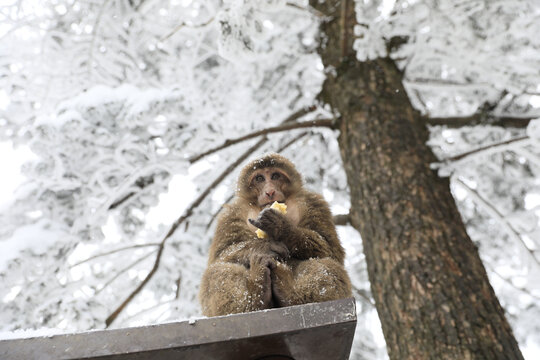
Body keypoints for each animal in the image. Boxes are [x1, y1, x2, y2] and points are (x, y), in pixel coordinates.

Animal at [200, 153, 352, 316]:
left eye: (275, 176)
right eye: (259, 178)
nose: (270, 192)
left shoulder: (314, 203)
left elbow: (330, 250)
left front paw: (280, 227)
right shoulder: (231, 214)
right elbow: (221, 255)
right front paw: (264, 246)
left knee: (327, 265)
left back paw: (288, 292)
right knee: (216, 271)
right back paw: (255, 294)